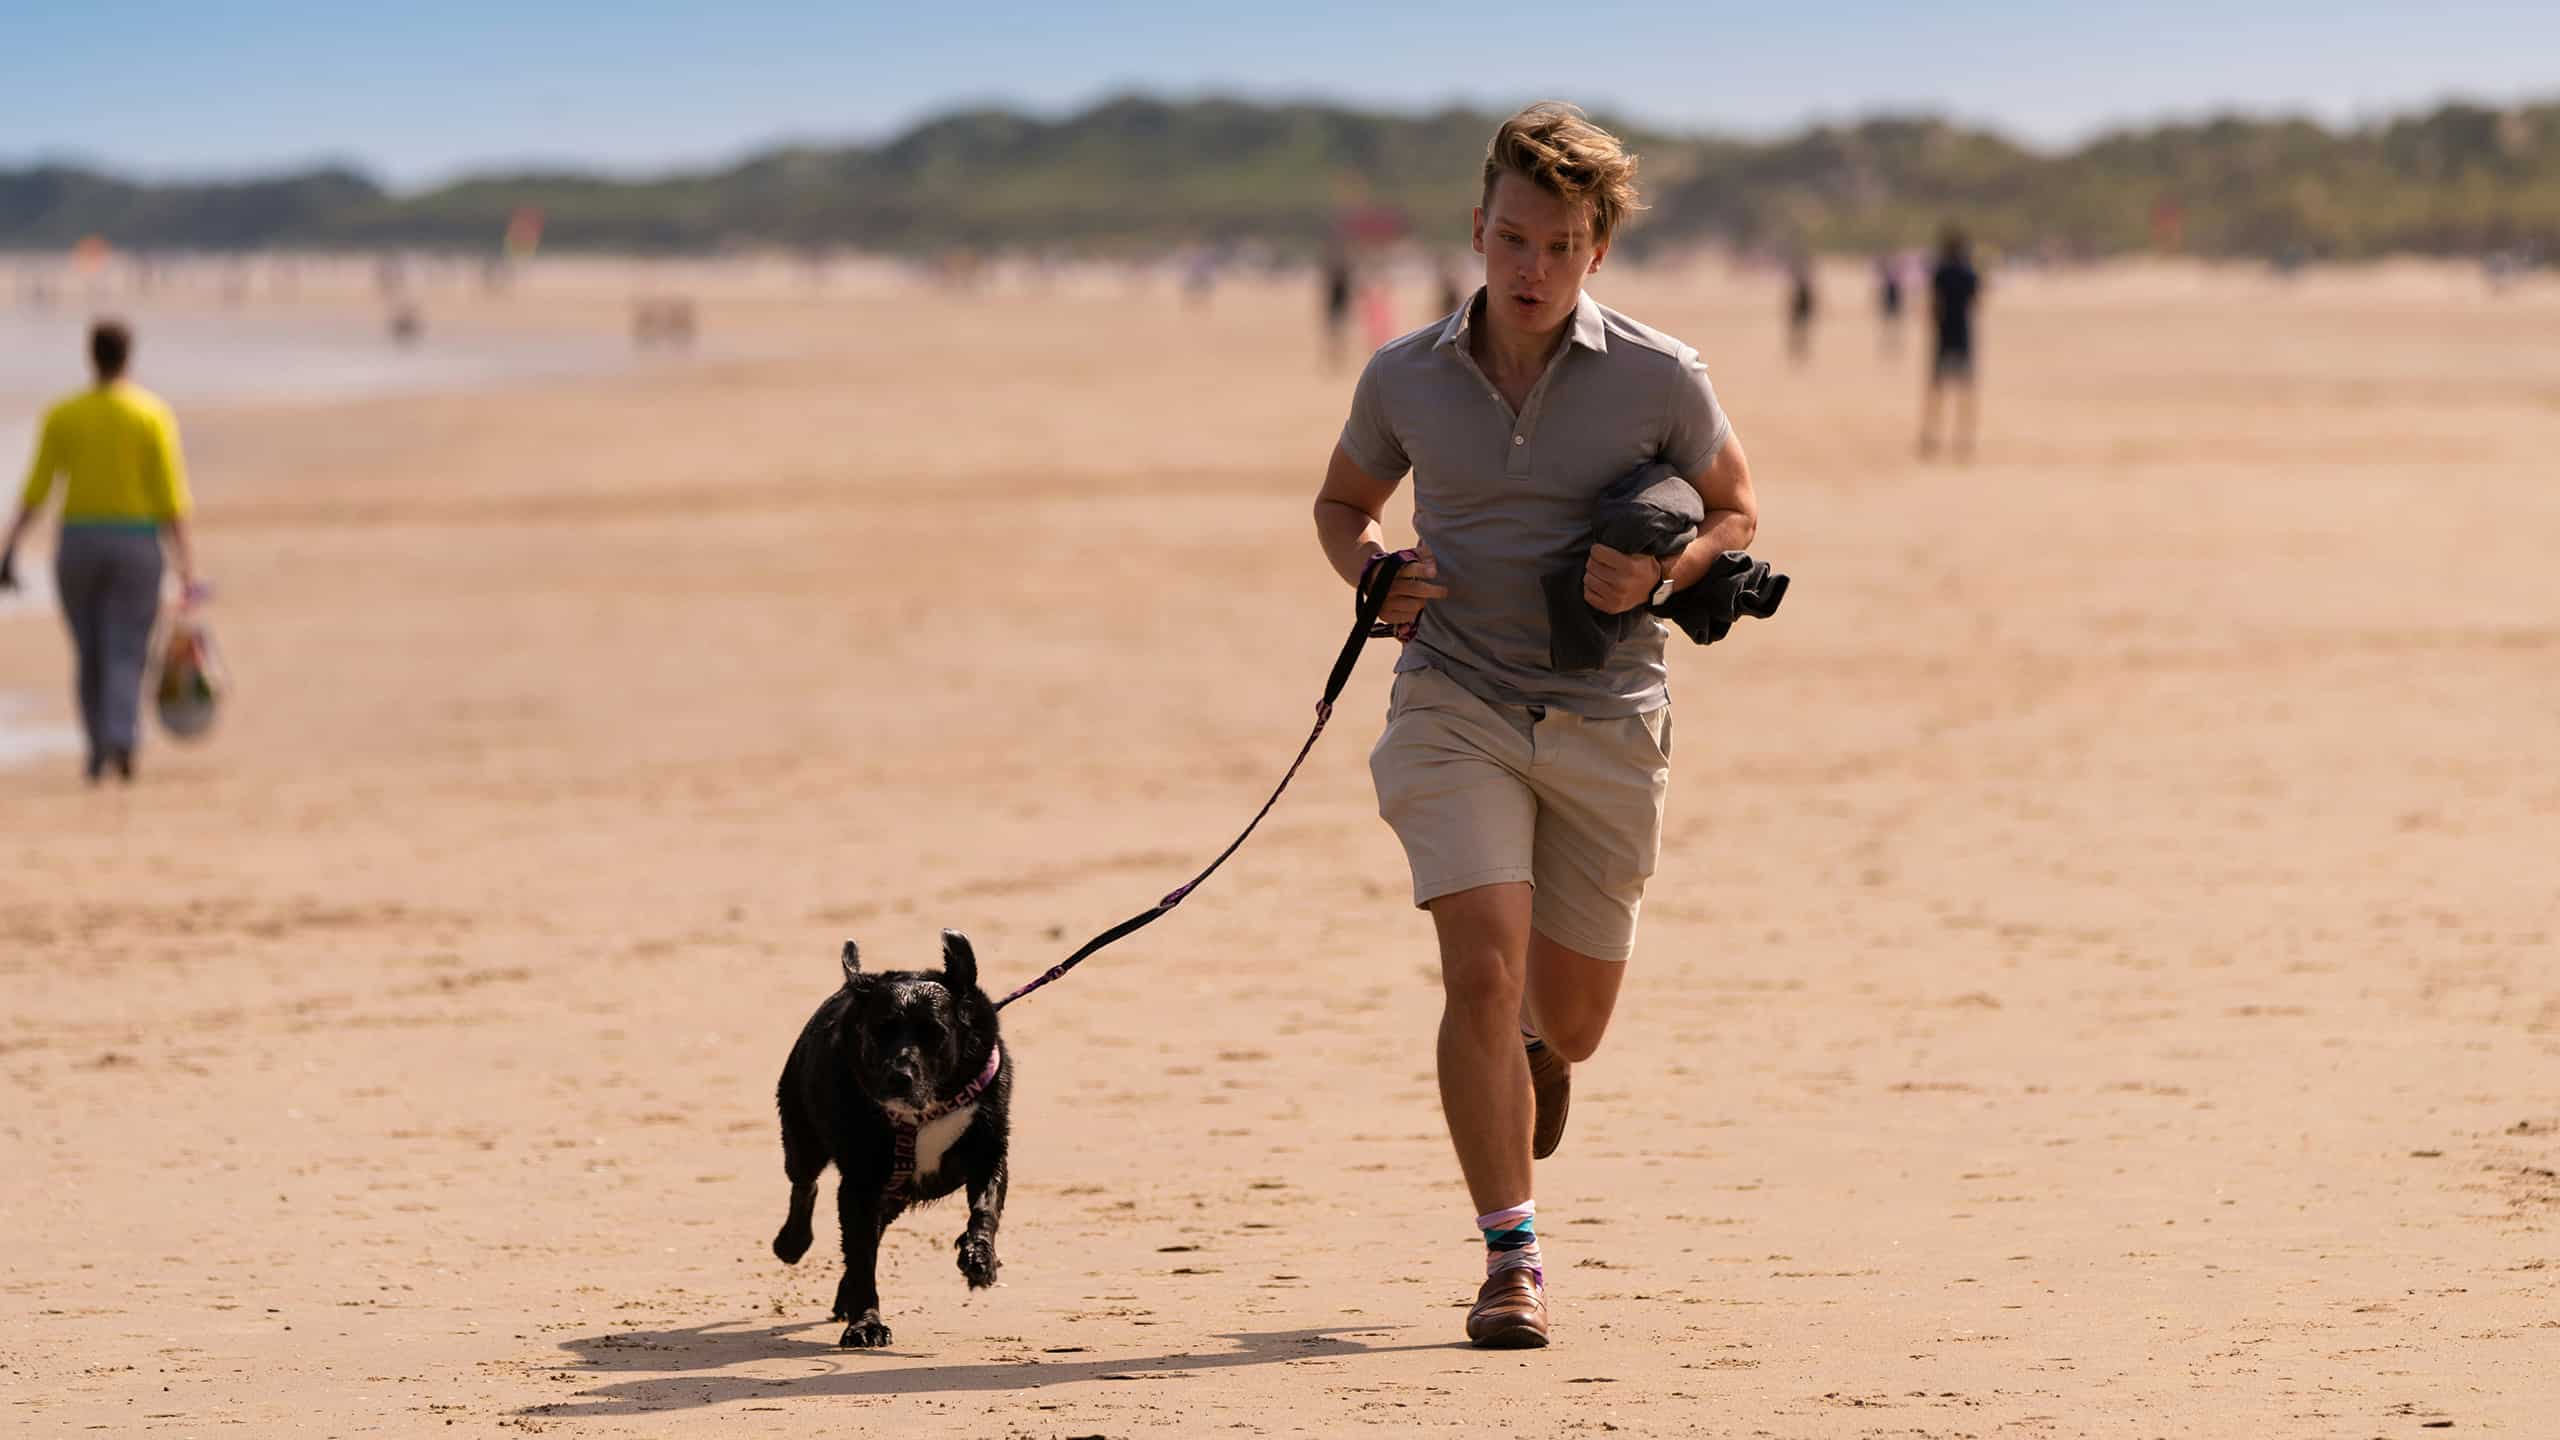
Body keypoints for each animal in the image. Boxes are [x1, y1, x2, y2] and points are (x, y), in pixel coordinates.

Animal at [773, 932, 1013, 1342]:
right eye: (880, 1030)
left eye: (935, 1033)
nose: (899, 1078)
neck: (927, 1109)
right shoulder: (861, 1183)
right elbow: (861, 1255)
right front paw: (866, 1324)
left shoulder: (988, 1152)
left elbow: (985, 1208)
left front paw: (979, 1257)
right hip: (802, 1138)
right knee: (805, 1184)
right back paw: (792, 1243)